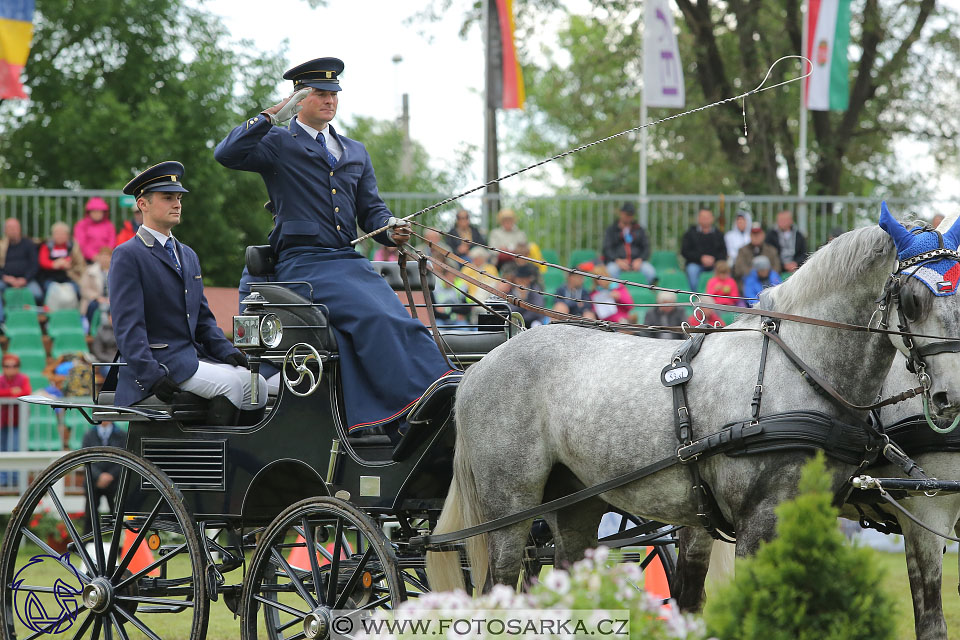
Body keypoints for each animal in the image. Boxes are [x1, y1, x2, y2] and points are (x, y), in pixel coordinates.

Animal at [432, 208, 960, 596]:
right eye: (912, 301)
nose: (949, 396)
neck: (798, 368)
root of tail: (481, 364)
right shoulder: (758, 522)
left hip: (576, 498)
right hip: (509, 505)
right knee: (498, 584)